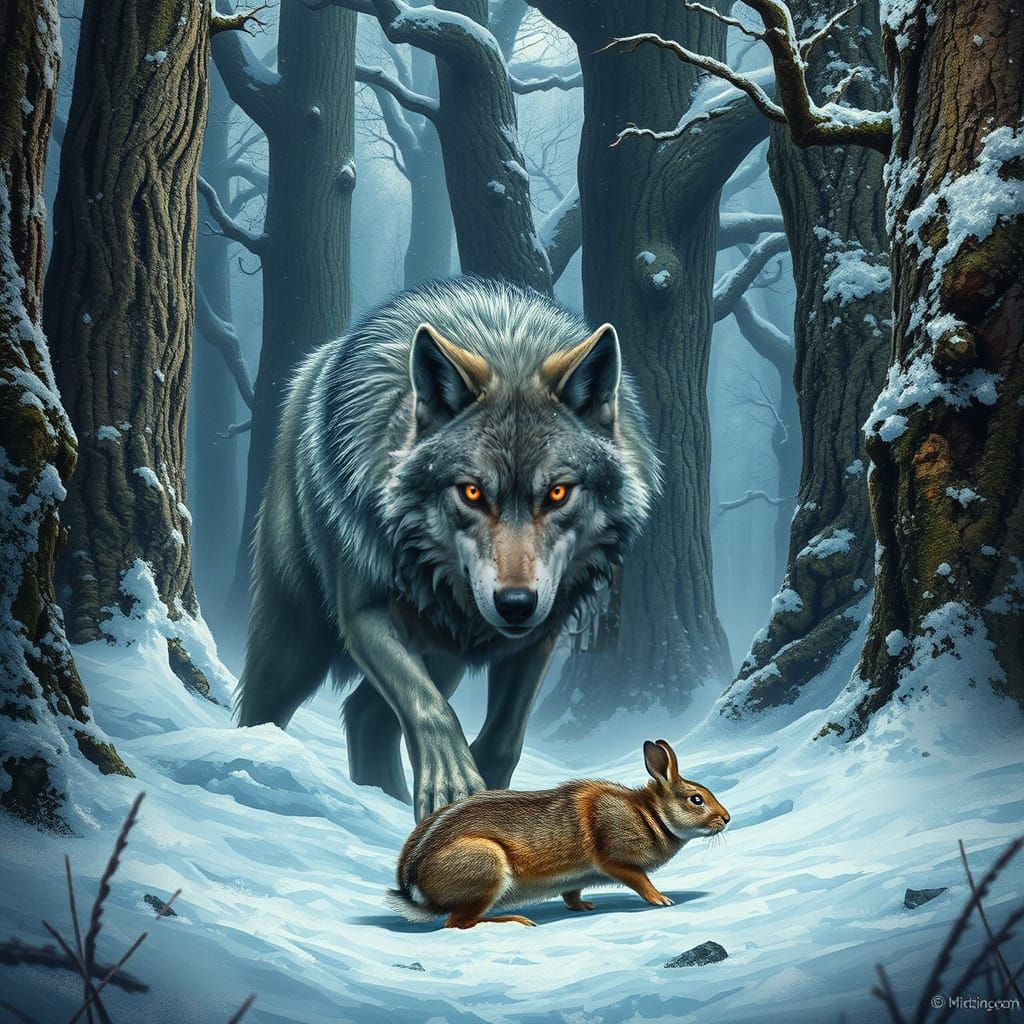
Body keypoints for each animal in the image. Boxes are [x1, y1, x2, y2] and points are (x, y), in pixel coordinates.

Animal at [236, 277, 659, 821]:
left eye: (558, 493)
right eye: (472, 492)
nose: (516, 604)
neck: (506, 344)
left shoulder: (541, 632)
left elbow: (505, 737)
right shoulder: (364, 613)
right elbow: (429, 707)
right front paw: (452, 782)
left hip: (447, 652)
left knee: (363, 715)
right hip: (297, 644)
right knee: (265, 708)